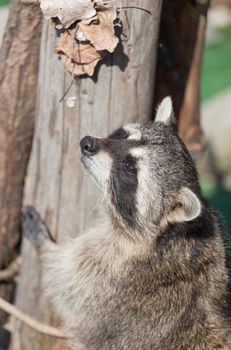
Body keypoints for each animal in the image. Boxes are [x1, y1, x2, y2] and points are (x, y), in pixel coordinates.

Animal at [23, 97, 231, 350]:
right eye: (123, 135)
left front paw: (43, 244)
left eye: (131, 168)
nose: (88, 143)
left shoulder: (112, 274)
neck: (165, 235)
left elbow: (63, 279)